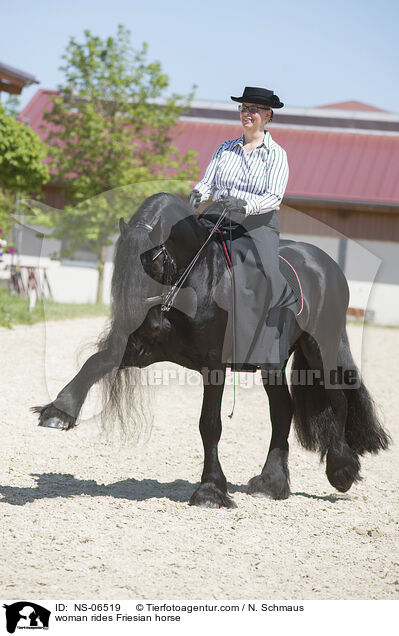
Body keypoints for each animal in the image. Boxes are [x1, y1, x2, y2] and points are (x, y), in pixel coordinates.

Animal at [34, 193, 390, 506]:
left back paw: (341, 469)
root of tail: (326, 265)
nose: (128, 318)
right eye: (119, 269)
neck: (192, 282)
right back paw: (271, 483)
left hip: (320, 347)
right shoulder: (140, 350)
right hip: (273, 365)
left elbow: (209, 425)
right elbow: (95, 362)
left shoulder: (213, 364)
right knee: (282, 412)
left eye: (150, 266)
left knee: (338, 397)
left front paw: (210, 490)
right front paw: (59, 411)